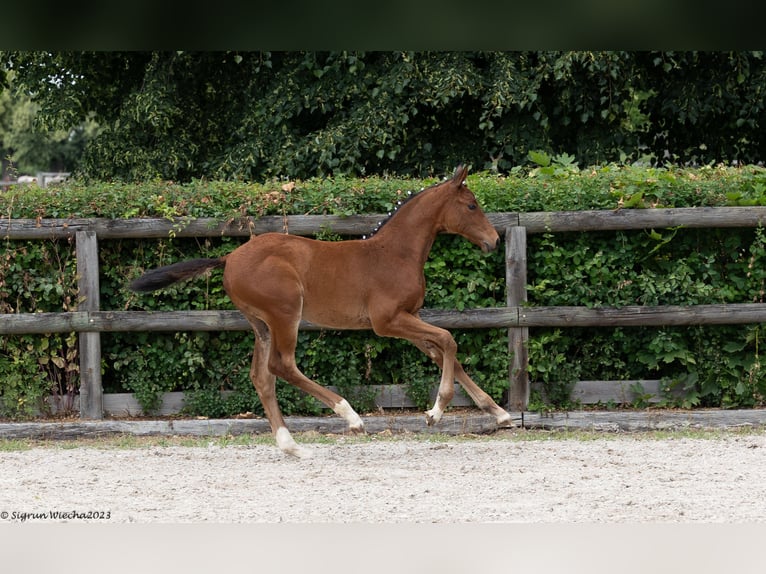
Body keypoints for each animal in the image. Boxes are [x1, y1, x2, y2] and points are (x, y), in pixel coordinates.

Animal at [130, 166, 516, 460]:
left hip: (261, 324)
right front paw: (435, 413)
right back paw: (351, 417)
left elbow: (444, 353)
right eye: (471, 205)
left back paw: (292, 446)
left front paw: (500, 414)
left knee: (262, 377)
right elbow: (449, 340)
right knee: (281, 366)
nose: (494, 241)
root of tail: (228, 258)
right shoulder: (388, 322)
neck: (395, 253)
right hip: (285, 314)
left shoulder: (409, 318)